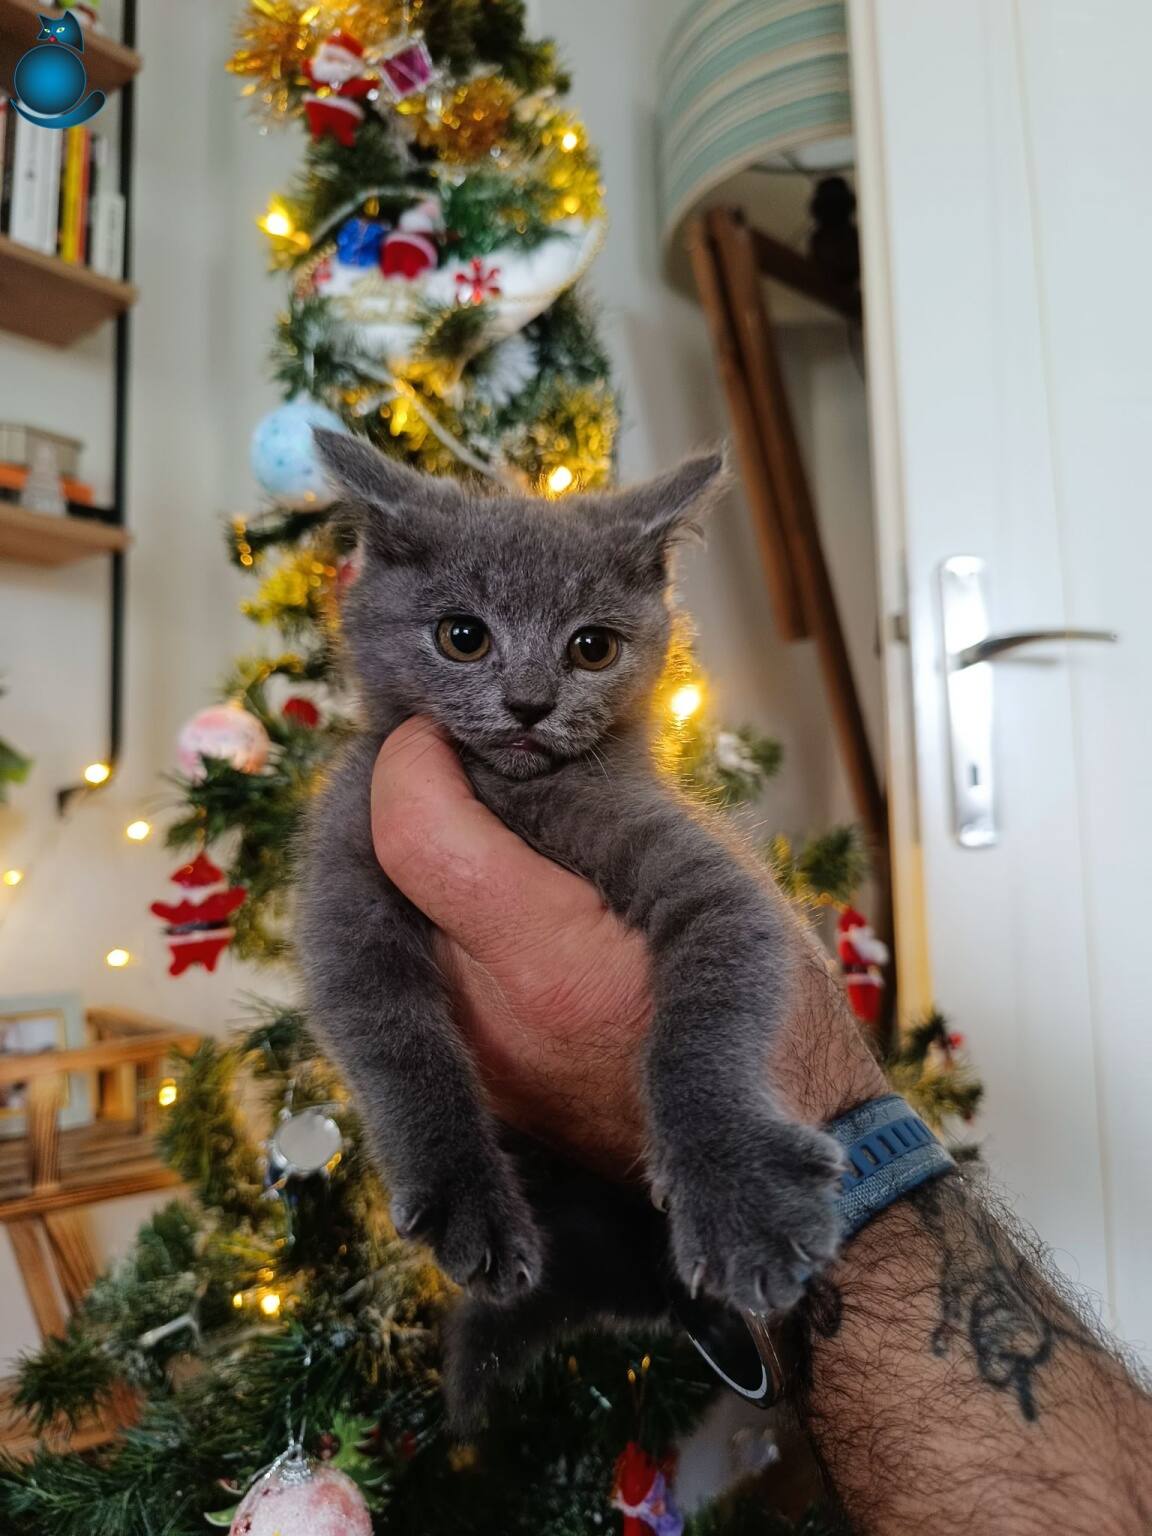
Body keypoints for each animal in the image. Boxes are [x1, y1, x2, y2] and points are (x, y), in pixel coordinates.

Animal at [297, 432, 845, 1419]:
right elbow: (398, 1043)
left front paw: (741, 1196)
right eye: (462, 635)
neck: (509, 793)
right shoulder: (344, 881)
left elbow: (698, 1034)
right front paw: (466, 1199)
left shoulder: (711, 882)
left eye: (592, 648)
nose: (528, 702)